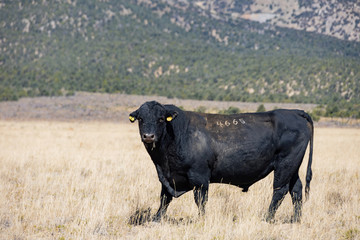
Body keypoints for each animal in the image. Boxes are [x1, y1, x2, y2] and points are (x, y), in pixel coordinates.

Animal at [129, 100, 312, 222]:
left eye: (160, 119)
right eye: (140, 119)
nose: (148, 136)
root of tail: (295, 112)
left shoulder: (199, 177)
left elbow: (200, 200)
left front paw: (201, 220)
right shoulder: (168, 177)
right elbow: (164, 198)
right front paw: (156, 218)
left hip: (285, 165)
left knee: (280, 191)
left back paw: (267, 218)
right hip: (293, 167)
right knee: (296, 190)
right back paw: (296, 219)